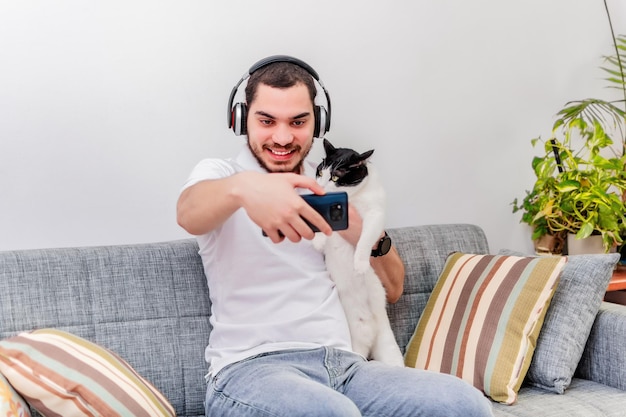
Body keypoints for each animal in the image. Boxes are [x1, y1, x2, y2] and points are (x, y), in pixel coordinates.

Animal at [312, 139, 404, 364]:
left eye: (335, 177)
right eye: (320, 172)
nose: (321, 187)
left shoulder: (375, 215)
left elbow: (365, 239)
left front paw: (360, 263)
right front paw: (319, 241)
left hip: (389, 349)